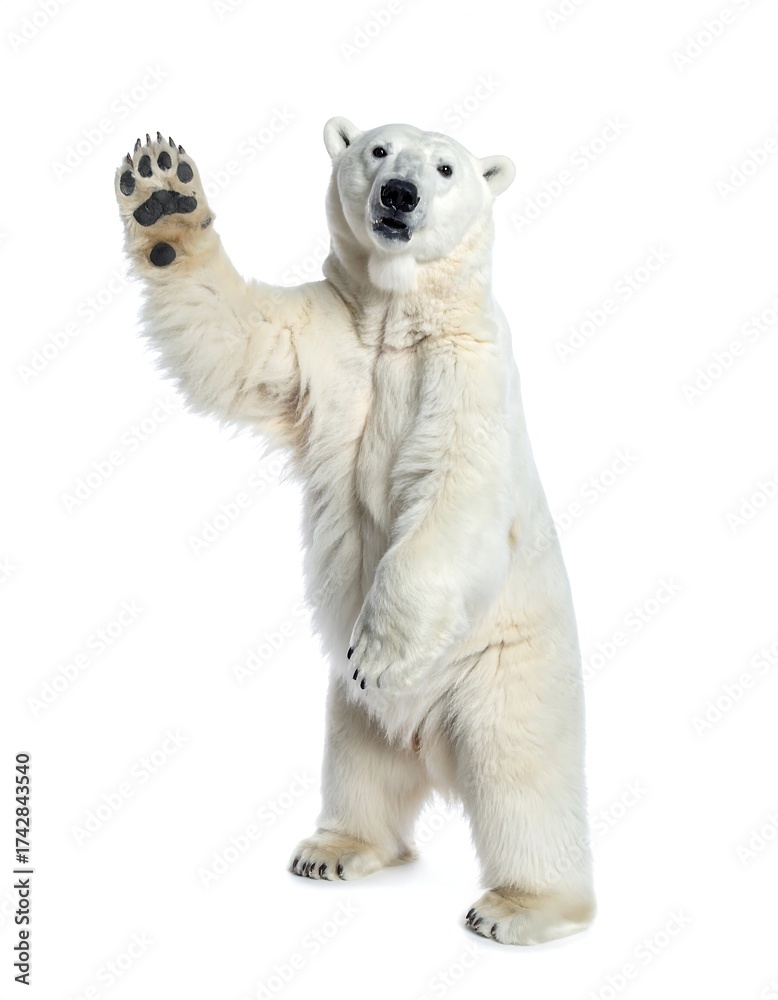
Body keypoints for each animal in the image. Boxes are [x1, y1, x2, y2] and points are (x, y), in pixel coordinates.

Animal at [114, 120, 595, 945]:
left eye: (445, 168)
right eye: (377, 150)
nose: (399, 195)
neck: (396, 318)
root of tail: (429, 745)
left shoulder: (467, 365)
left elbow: (453, 485)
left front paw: (377, 651)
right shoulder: (329, 336)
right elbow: (237, 341)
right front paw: (161, 192)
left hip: (505, 671)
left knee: (521, 775)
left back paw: (522, 906)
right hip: (349, 714)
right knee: (360, 767)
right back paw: (335, 849)